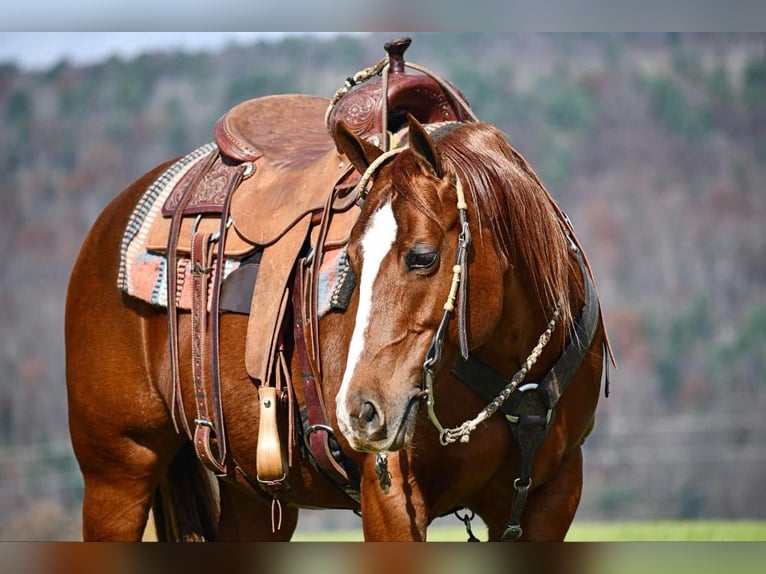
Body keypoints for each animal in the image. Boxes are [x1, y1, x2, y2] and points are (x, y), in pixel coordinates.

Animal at [64, 49, 612, 544]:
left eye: (423, 257)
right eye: (349, 255)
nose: (361, 410)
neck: (512, 374)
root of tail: (106, 227)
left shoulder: (553, 497)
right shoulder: (391, 496)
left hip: (253, 496)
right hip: (117, 475)